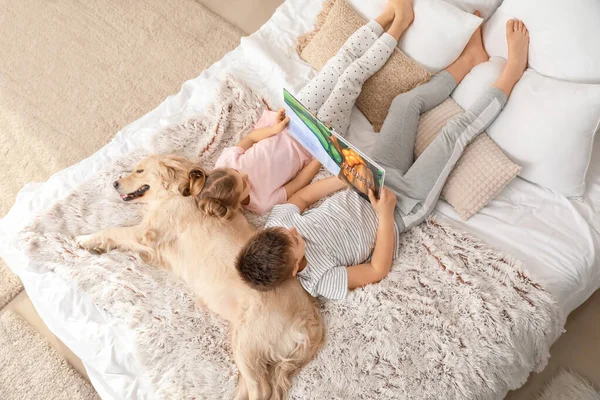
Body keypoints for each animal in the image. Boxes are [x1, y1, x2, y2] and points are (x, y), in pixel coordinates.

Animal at [78, 155, 326, 400]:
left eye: (139, 171)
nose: (114, 183)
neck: (178, 191)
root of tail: (311, 323)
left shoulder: (146, 233)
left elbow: (113, 230)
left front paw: (86, 240)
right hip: (245, 345)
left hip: (248, 342)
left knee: (261, 390)